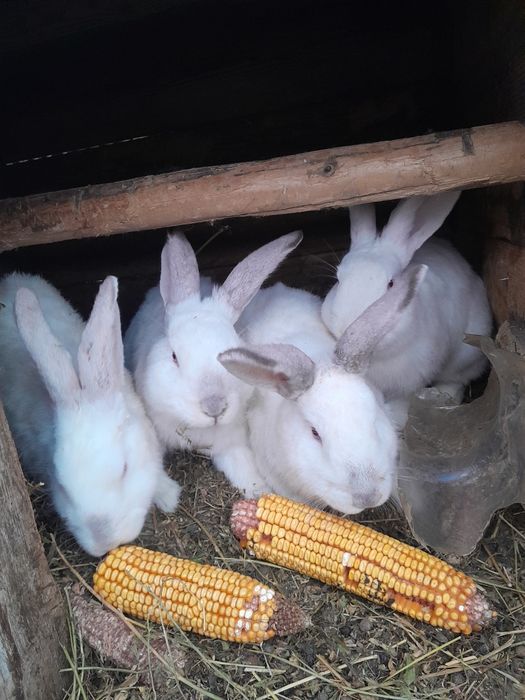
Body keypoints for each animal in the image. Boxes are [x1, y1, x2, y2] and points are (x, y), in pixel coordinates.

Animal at [124, 229, 303, 495]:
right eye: (174, 356)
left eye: (232, 353)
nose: (214, 408)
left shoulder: (231, 442)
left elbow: (244, 469)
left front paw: (260, 492)